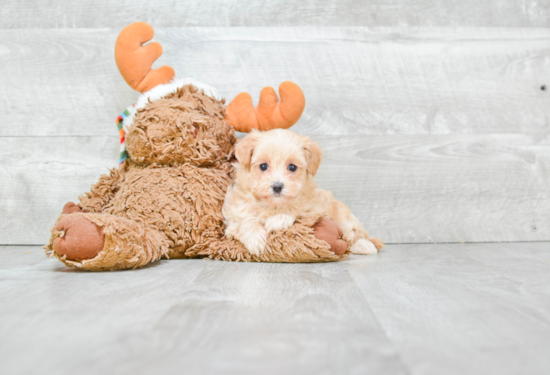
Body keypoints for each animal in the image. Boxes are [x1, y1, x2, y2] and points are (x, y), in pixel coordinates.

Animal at [222, 129, 386, 256]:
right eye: (263, 166)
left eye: (292, 167)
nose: (277, 186)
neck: (273, 205)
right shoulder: (234, 216)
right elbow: (245, 221)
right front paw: (255, 239)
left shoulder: (314, 209)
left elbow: (297, 207)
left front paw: (279, 218)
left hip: (344, 219)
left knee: (351, 236)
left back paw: (364, 245)